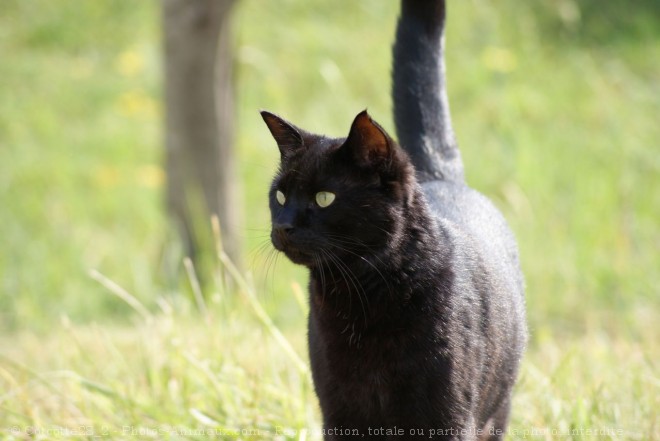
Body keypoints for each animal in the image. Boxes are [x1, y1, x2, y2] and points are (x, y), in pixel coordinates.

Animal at [260, 1, 524, 438]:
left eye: (325, 197)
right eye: (280, 195)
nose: (283, 226)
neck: (362, 298)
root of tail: (439, 177)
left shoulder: (448, 415)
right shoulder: (340, 412)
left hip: (496, 411)